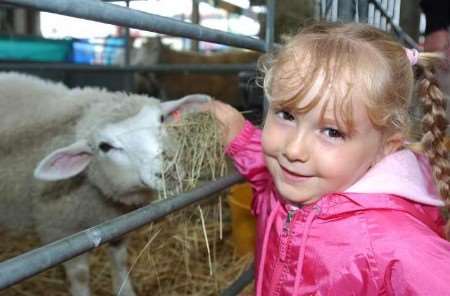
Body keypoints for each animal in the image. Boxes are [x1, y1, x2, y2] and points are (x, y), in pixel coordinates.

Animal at [0, 71, 211, 296]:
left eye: (161, 119)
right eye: (105, 146)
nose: (169, 170)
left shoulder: (117, 222)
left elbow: (120, 259)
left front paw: (125, 290)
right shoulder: (59, 230)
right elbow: (80, 275)